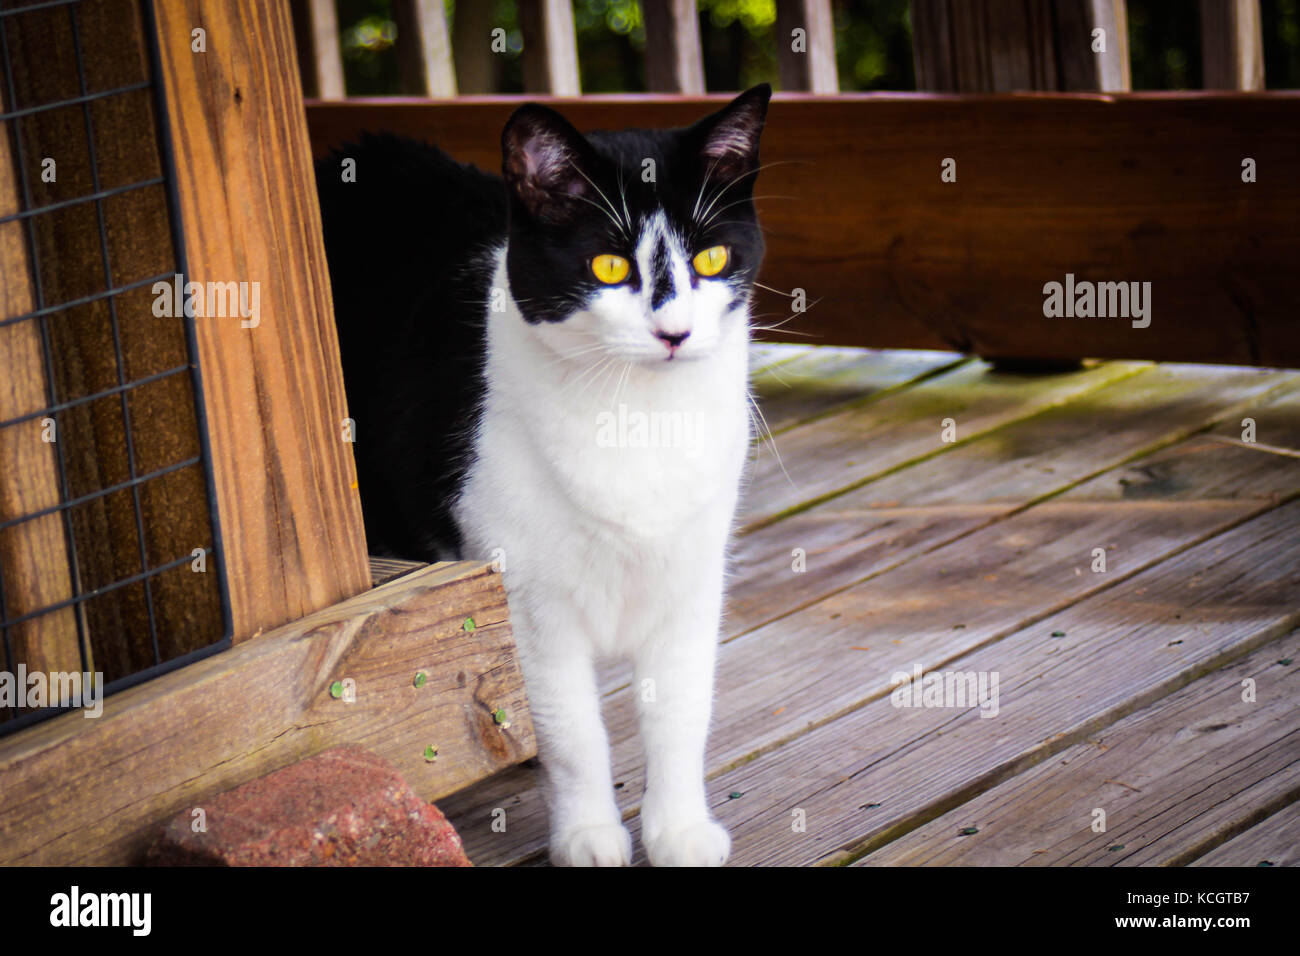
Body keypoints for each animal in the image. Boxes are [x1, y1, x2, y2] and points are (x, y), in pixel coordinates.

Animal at [319, 85, 769, 868]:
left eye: (712, 257)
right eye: (610, 268)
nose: (675, 332)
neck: (638, 419)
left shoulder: (692, 581)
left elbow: (681, 713)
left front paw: (679, 830)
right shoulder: (527, 603)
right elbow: (573, 731)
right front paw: (588, 835)